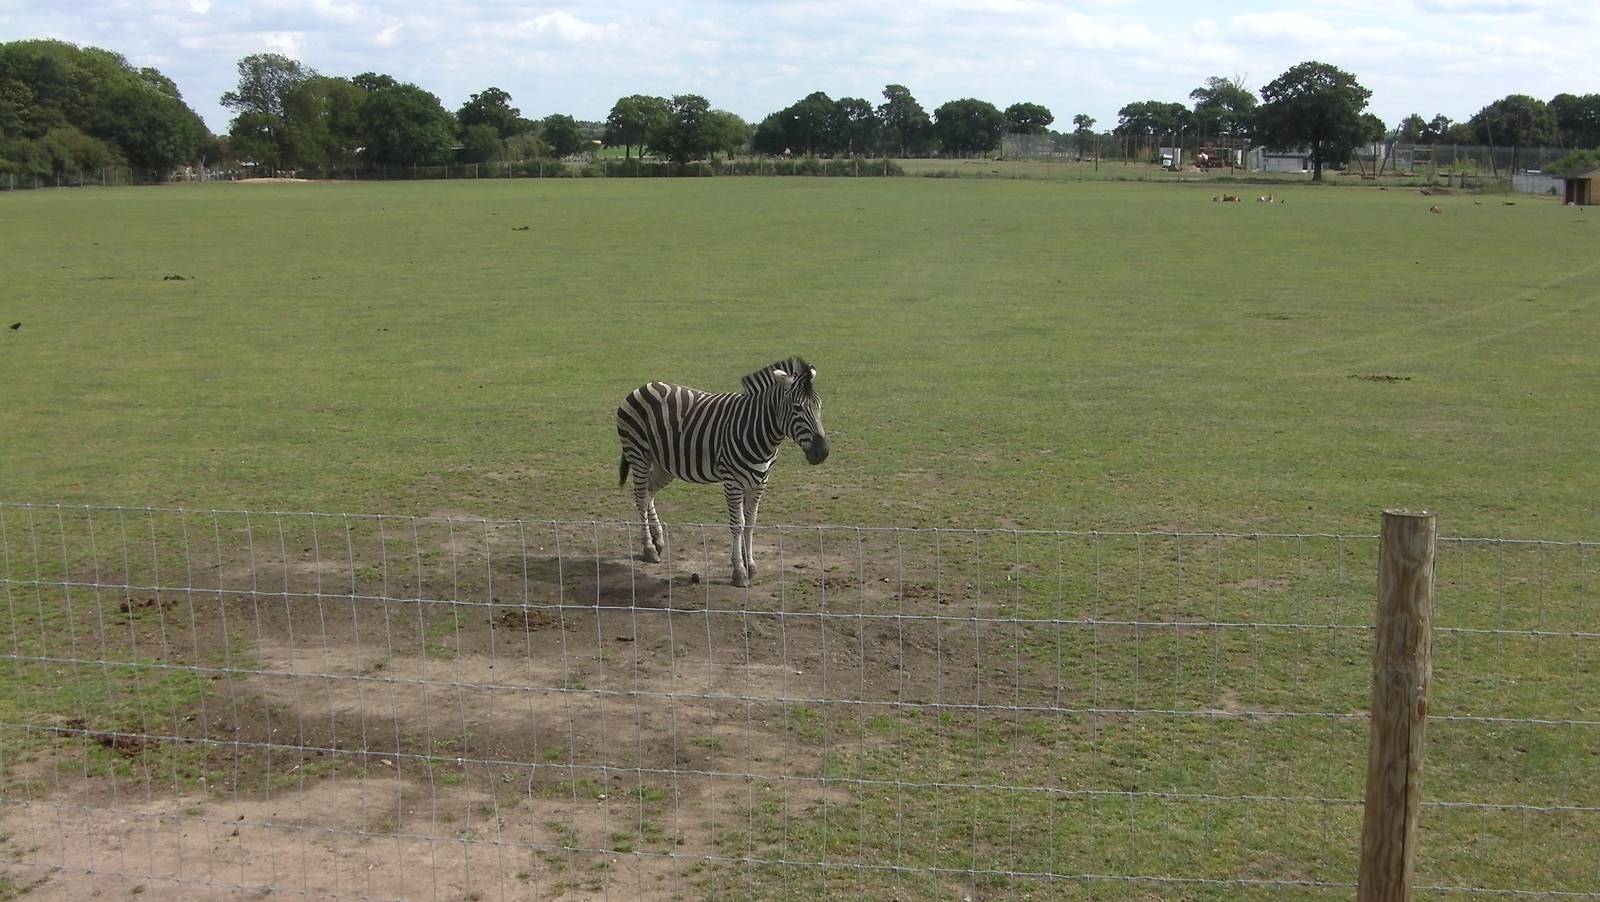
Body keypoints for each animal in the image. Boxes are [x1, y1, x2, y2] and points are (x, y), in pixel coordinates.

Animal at [616, 357, 830, 587]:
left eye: (819, 406)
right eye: (797, 408)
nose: (822, 452)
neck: (757, 430)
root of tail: (643, 387)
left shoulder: (760, 481)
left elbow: (750, 523)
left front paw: (750, 564)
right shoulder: (732, 481)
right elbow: (738, 524)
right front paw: (740, 571)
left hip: (665, 464)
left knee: (649, 492)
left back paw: (658, 540)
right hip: (638, 454)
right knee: (640, 496)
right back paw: (648, 548)